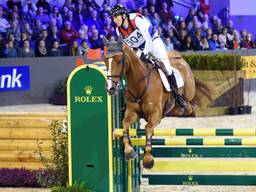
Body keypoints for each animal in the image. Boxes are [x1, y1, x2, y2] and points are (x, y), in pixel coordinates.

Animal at [102, 36, 212, 169]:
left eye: (119, 61)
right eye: (105, 61)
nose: (110, 89)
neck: (141, 84)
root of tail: (179, 57)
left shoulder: (155, 115)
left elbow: (148, 127)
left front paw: (148, 159)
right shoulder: (132, 112)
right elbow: (125, 124)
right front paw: (129, 151)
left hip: (189, 92)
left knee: (190, 105)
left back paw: (184, 105)